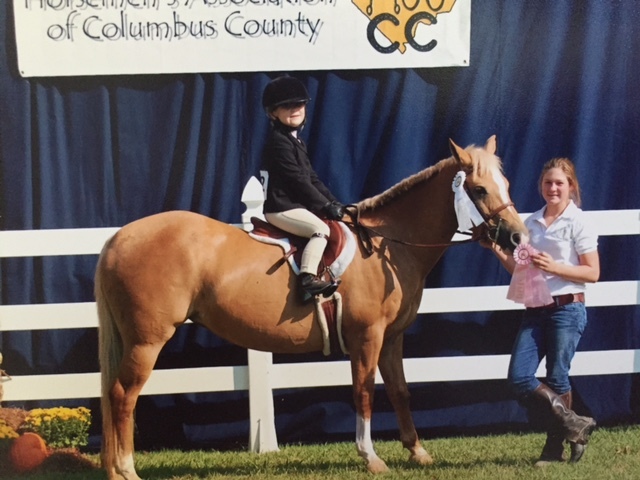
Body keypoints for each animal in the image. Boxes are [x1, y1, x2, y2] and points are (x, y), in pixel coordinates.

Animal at [96, 136, 528, 479]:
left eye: (506, 184)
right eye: (479, 190)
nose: (517, 236)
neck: (385, 245)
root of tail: (120, 237)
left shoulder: (392, 338)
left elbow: (400, 391)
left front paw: (417, 451)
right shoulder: (367, 337)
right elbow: (364, 391)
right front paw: (371, 457)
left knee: (114, 394)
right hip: (147, 341)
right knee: (123, 395)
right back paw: (126, 470)